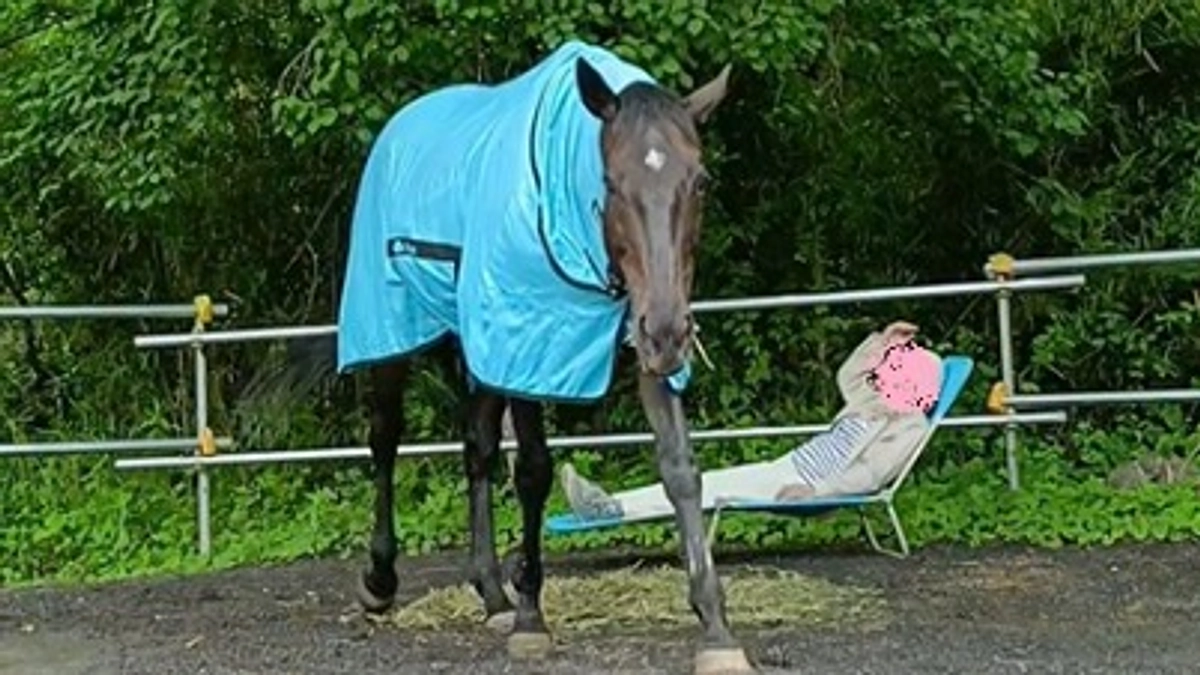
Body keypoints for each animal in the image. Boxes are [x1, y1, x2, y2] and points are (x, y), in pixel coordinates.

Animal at [262, 41, 748, 674]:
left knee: (477, 451)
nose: (668, 331)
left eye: (702, 181)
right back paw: (381, 581)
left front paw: (715, 628)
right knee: (386, 440)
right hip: (394, 331)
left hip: (481, 348)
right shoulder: (530, 349)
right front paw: (531, 615)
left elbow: (681, 472)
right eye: (611, 182)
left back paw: (491, 592)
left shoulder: (632, 341)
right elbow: (534, 472)